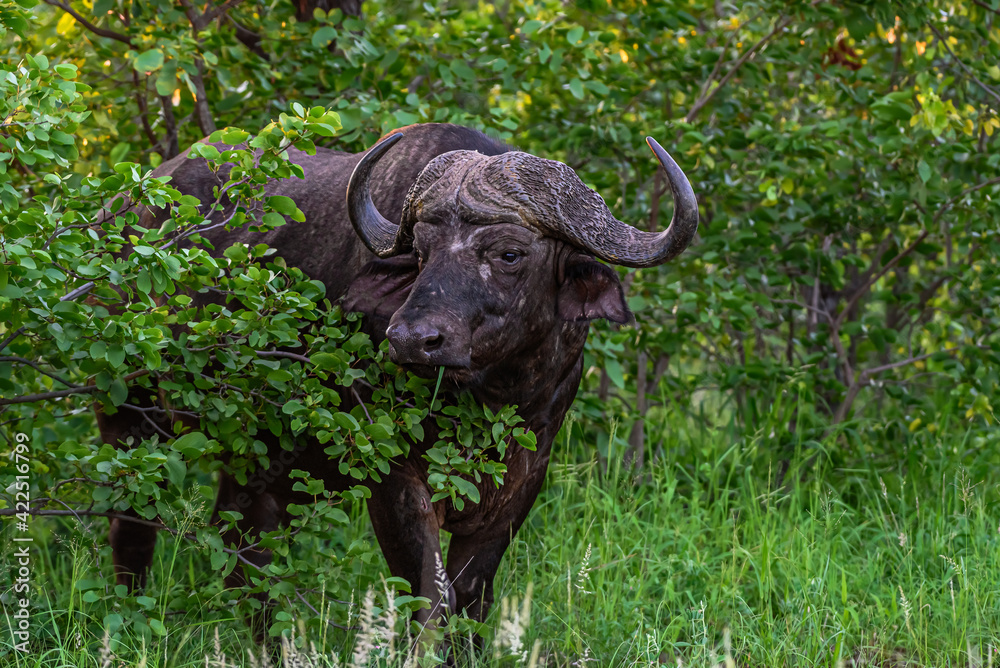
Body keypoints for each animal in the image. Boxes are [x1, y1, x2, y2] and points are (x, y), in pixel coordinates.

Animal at [101, 123, 698, 633]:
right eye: (422, 253)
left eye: (509, 253)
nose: (412, 339)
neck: (491, 396)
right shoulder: (391, 476)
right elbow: (431, 597)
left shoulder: (527, 477)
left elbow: (471, 599)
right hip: (130, 411)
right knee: (133, 523)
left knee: (243, 537)